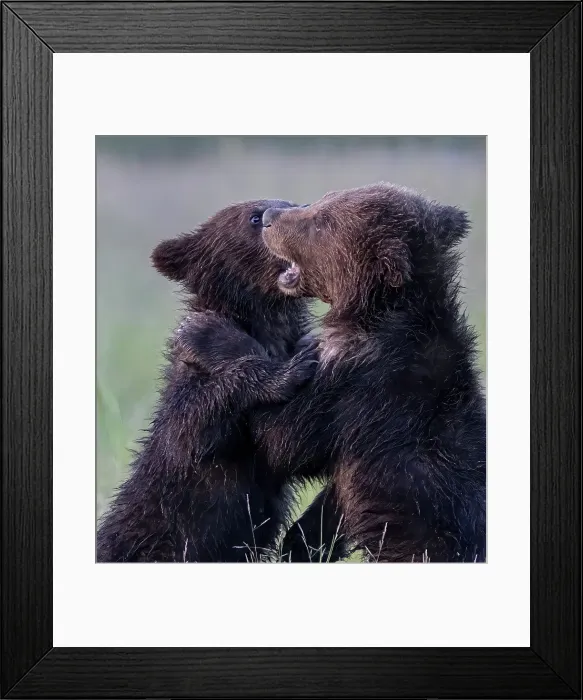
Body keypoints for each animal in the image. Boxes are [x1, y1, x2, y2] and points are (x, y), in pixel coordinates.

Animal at [96, 199, 317, 562]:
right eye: (254, 216)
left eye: (292, 203)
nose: (301, 212)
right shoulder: (188, 393)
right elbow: (193, 427)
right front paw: (285, 370)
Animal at [190, 183, 486, 563]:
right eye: (324, 200)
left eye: (322, 222)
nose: (270, 217)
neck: (375, 312)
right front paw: (300, 541)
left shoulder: (359, 385)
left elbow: (283, 437)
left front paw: (207, 332)